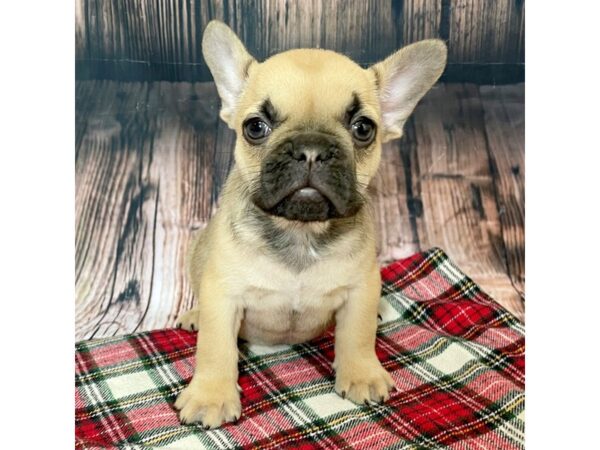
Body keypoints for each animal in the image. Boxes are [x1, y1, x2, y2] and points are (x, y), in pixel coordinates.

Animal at [173, 21, 446, 428]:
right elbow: (215, 348)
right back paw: (193, 316)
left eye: (363, 128)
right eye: (256, 127)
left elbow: (357, 336)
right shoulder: (223, 294)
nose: (311, 150)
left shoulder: (361, 287)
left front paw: (361, 373)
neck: (300, 232)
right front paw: (211, 395)